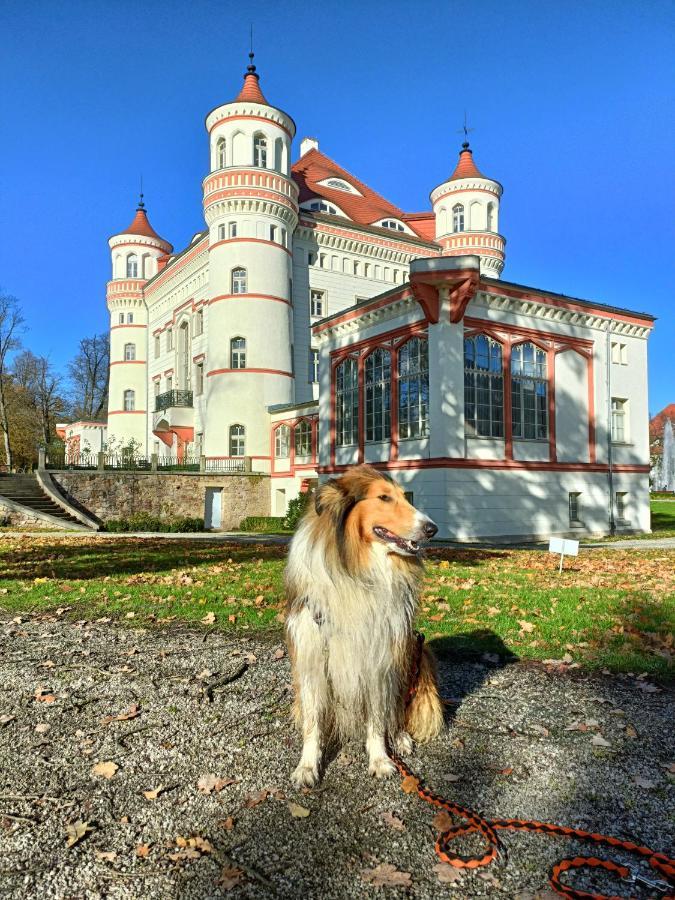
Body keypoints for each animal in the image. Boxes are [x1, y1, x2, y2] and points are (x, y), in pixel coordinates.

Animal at [284, 464, 444, 788]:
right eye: (384, 497)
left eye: (404, 496)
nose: (432, 529)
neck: (358, 569)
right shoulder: (312, 658)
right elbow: (313, 722)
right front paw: (307, 766)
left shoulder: (379, 660)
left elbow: (378, 719)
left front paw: (380, 759)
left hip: (412, 652)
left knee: (397, 710)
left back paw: (401, 738)